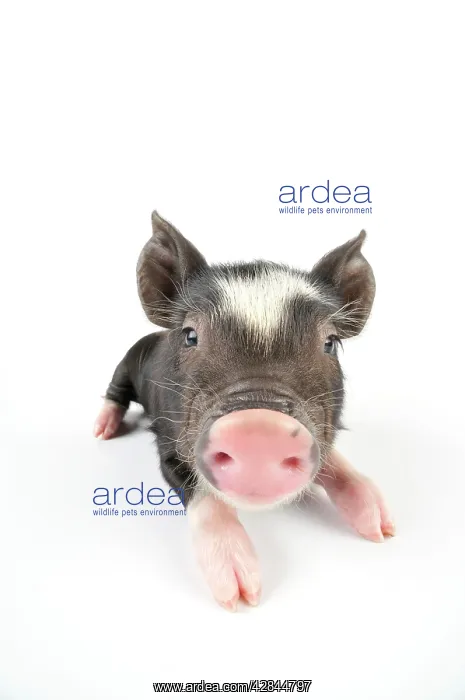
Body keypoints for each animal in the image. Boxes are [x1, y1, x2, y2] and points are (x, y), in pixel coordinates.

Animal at [94, 211, 395, 610]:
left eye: (330, 342)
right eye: (190, 335)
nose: (260, 428)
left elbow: (334, 463)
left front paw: (383, 529)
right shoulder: (168, 443)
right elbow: (203, 496)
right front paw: (240, 596)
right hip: (126, 363)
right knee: (115, 392)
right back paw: (102, 430)